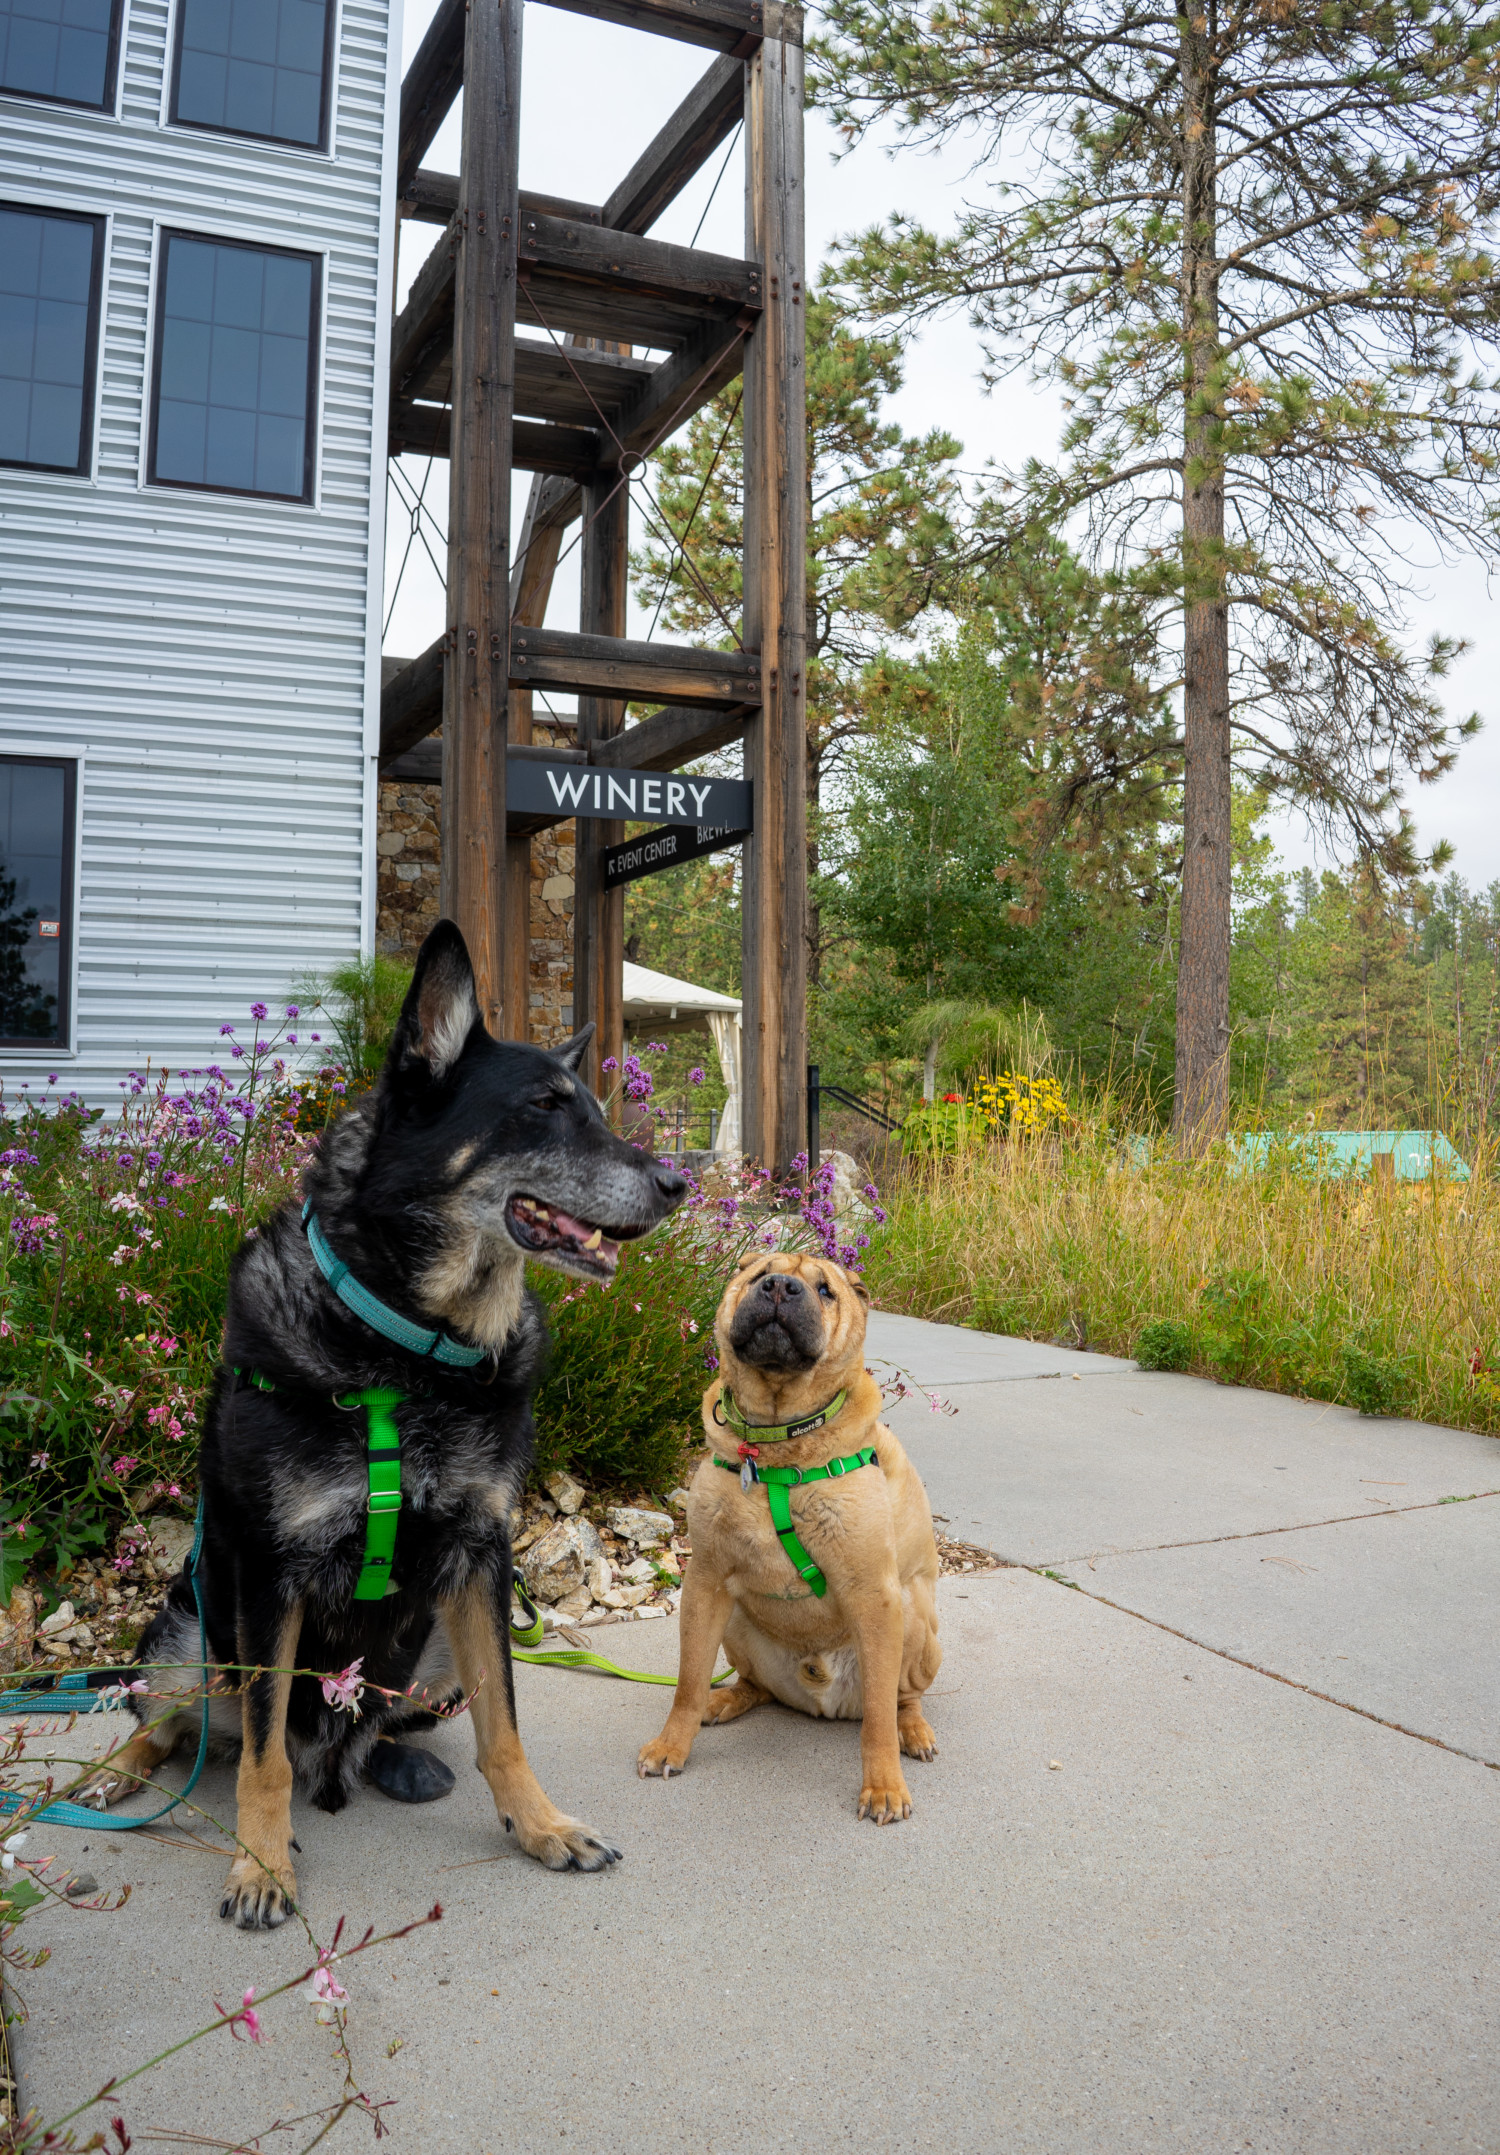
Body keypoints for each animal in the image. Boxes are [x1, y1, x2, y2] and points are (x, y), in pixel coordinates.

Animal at [87, 918, 685, 1930]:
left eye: (599, 1112)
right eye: (545, 1106)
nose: (678, 1182)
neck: (410, 1349)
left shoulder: (480, 1558)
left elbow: (504, 1722)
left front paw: (540, 1825)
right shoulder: (271, 1576)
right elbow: (258, 1760)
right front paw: (259, 1864)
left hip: (428, 1647)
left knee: (371, 1727)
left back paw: (398, 1759)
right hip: (188, 1627)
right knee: (181, 1724)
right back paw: (112, 1773)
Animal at [637, 1249, 943, 1818]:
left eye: (825, 1291)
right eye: (759, 1276)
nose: (780, 1287)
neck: (776, 1445)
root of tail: (823, 1701)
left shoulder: (875, 1595)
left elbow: (878, 1722)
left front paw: (884, 1785)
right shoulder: (706, 1580)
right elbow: (687, 1681)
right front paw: (672, 1744)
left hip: (913, 1619)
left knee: (897, 1701)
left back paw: (913, 1730)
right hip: (736, 1621)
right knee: (754, 1685)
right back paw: (724, 1698)